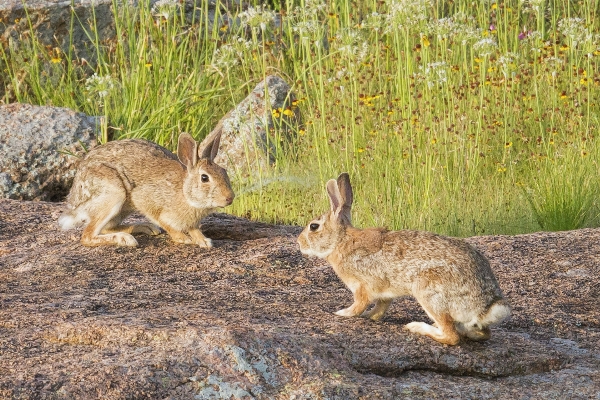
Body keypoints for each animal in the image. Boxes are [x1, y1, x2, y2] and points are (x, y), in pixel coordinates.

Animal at [57, 133, 233, 247]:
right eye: (204, 178)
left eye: (224, 171)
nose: (230, 198)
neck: (185, 191)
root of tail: (75, 204)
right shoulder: (145, 200)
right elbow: (164, 221)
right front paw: (182, 238)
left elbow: (194, 228)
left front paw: (204, 241)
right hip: (113, 194)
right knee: (87, 236)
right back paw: (125, 239)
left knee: (106, 227)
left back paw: (144, 228)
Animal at [296, 173, 510, 346]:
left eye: (314, 227)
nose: (299, 243)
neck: (341, 241)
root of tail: (486, 307)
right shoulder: (384, 293)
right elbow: (380, 308)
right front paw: (369, 317)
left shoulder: (362, 286)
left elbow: (359, 305)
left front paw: (342, 313)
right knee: (482, 334)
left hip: (428, 291)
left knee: (451, 336)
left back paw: (417, 327)